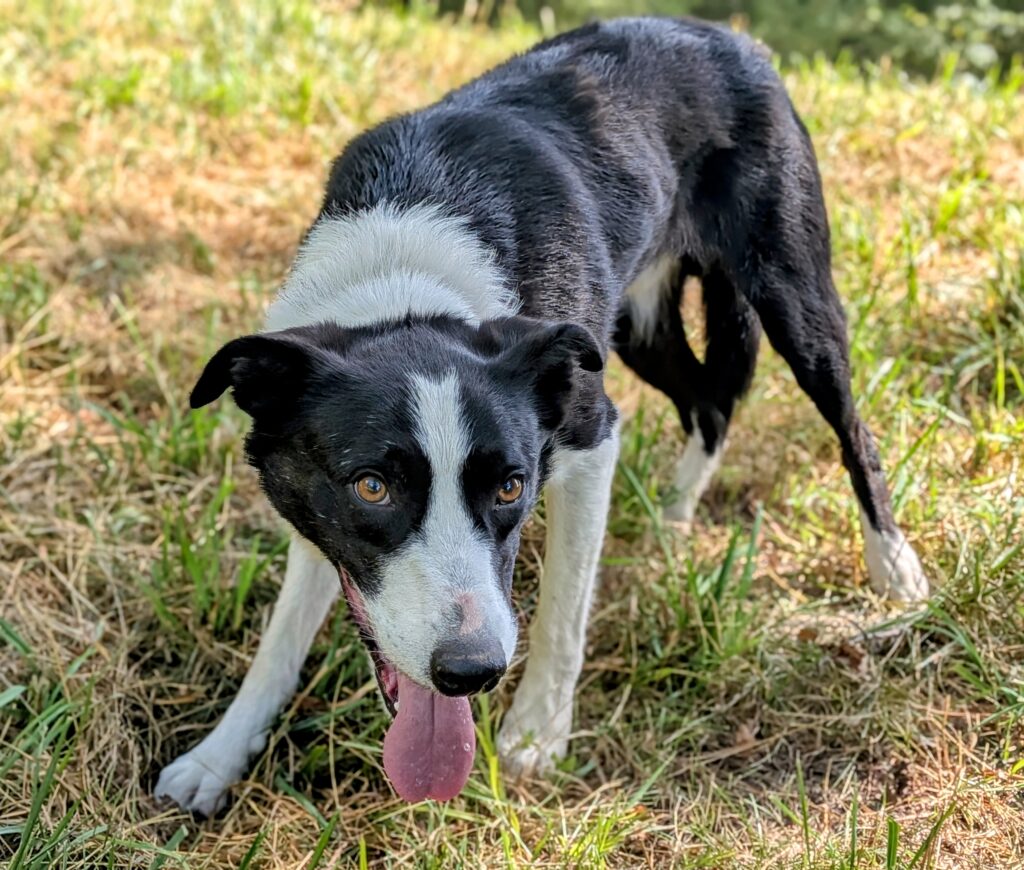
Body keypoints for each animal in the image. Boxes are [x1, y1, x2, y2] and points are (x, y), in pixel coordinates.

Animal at [155, 17, 928, 815]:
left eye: (511, 487)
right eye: (371, 487)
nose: (472, 672)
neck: (406, 282)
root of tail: (725, 34)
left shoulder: (590, 439)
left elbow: (563, 609)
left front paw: (537, 734)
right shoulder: (319, 507)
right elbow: (280, 640)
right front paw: (218, 757)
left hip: (792, 300)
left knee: (851, 430)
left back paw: (895, 571)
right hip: (637, 327)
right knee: (708, 402)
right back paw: (675, 517)